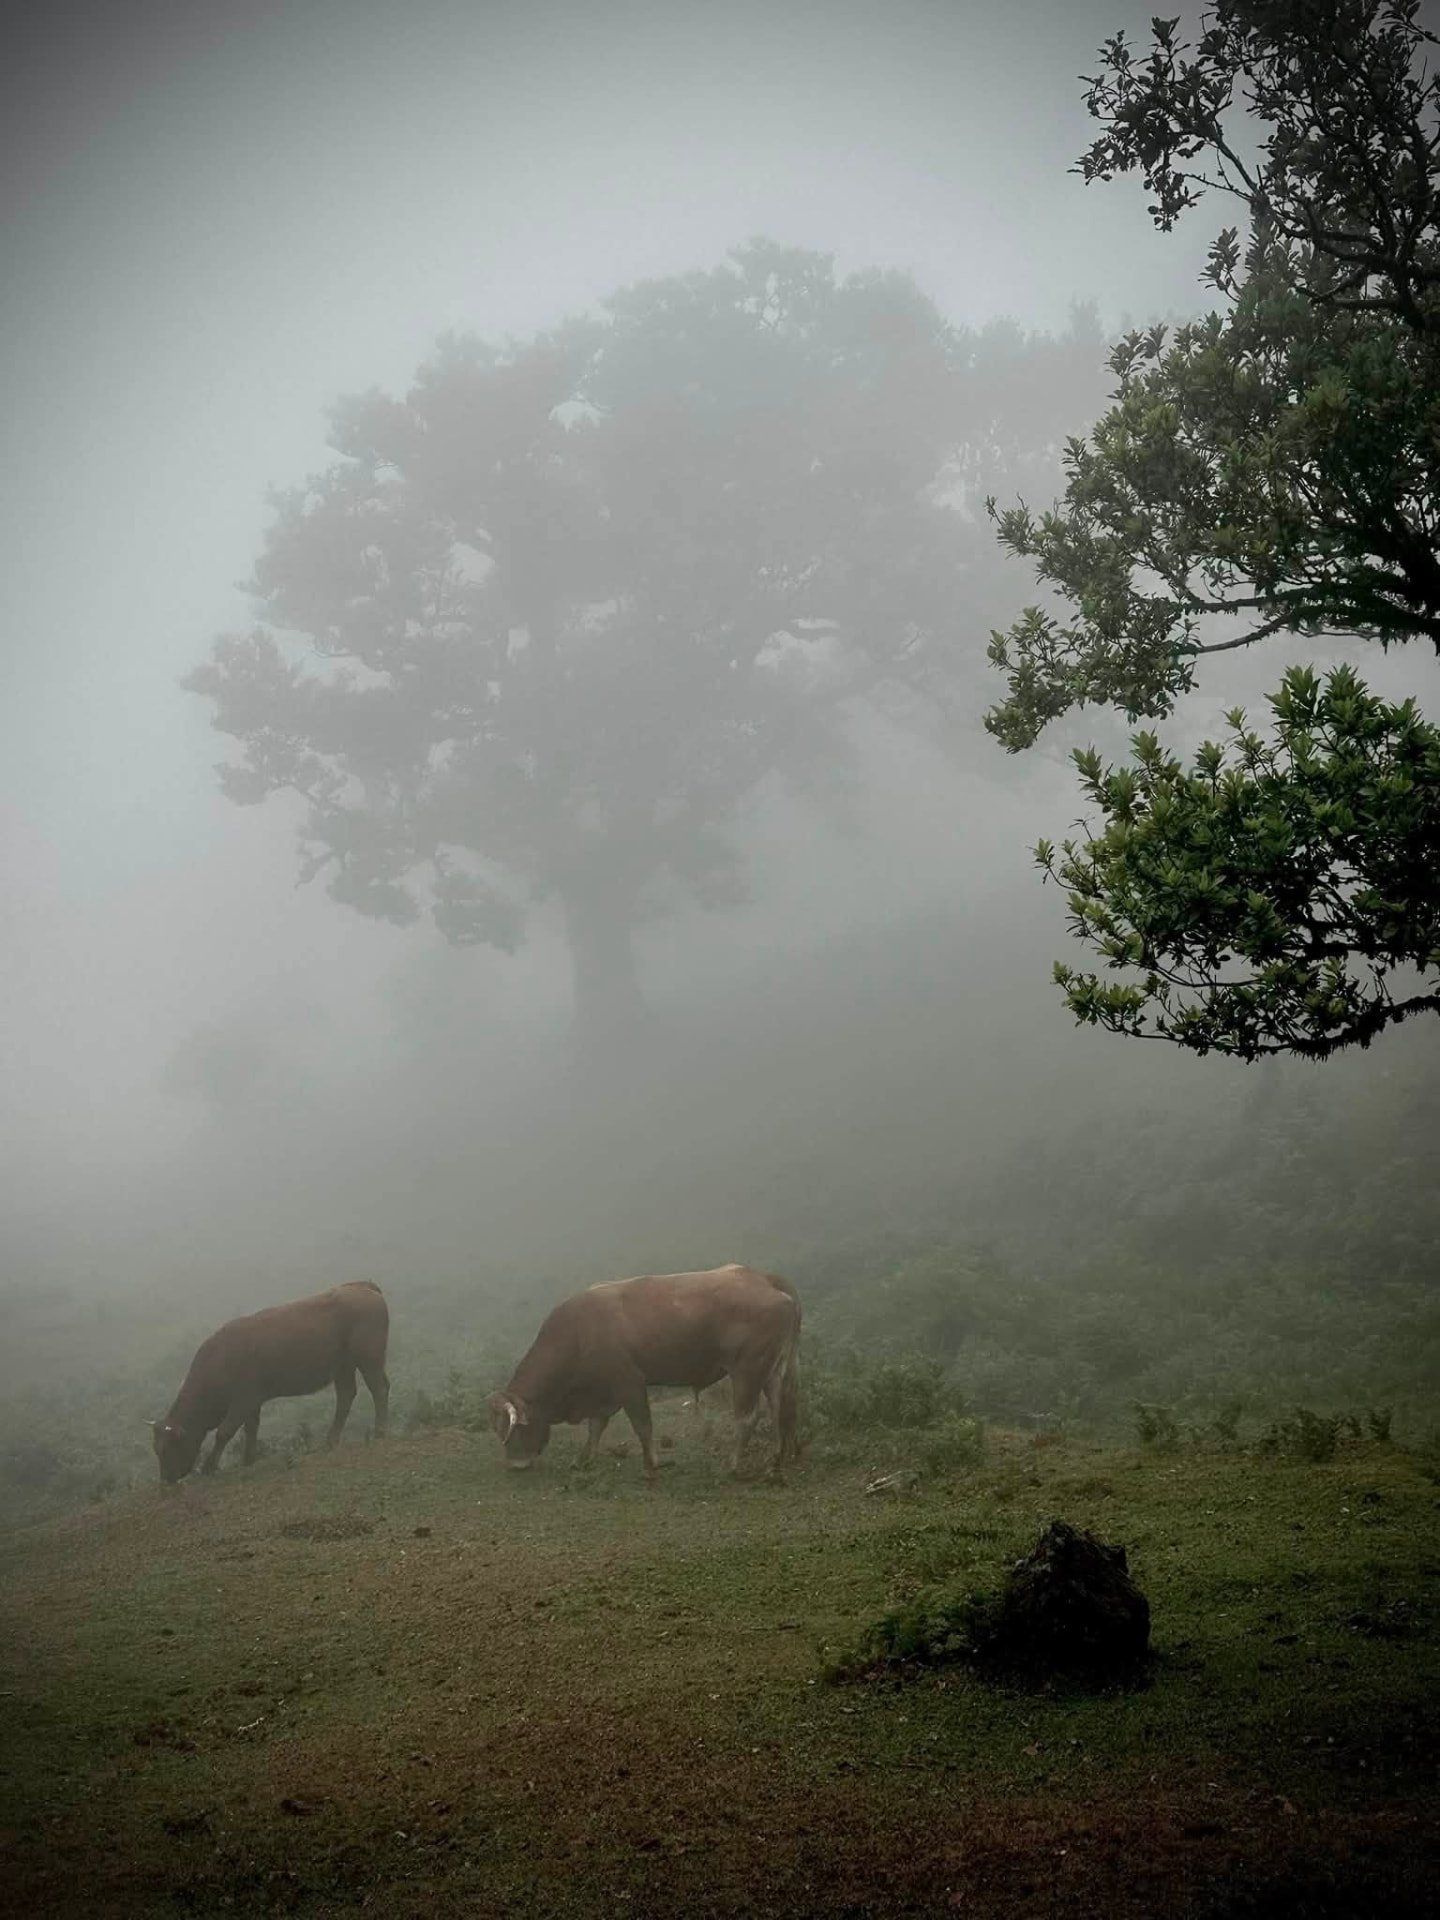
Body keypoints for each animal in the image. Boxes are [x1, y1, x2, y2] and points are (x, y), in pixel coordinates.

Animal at [151, 1282, 390, 1483]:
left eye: (166, 1449)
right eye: (156, 1448)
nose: (166, 1481)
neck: (220, 1360)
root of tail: (363, 1287)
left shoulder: (243, 1400)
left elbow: (224, 1431)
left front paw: (209, 1466)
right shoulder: (252, 1402)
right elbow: (251, 1428)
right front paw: (248, 1458)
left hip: (369, 1358)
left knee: (379, 1388)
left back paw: (379, 1431)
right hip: (343, 1366)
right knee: (346, 1395)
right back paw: (331, 1440)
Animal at [488, 1264, 800, 1481]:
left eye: (513, 1429)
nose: (515, 1465)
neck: (578, 1333)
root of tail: (764, 1279)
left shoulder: (630, 1383)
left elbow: (642, 1426)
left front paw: (651, 1466)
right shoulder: (604, 1392)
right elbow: (596, 1426)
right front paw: (584, 1459)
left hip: (748, 1370)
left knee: (748, 1418)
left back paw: (733, 1466)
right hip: (773, 1371)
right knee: (779, 1411)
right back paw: (776, 1461)